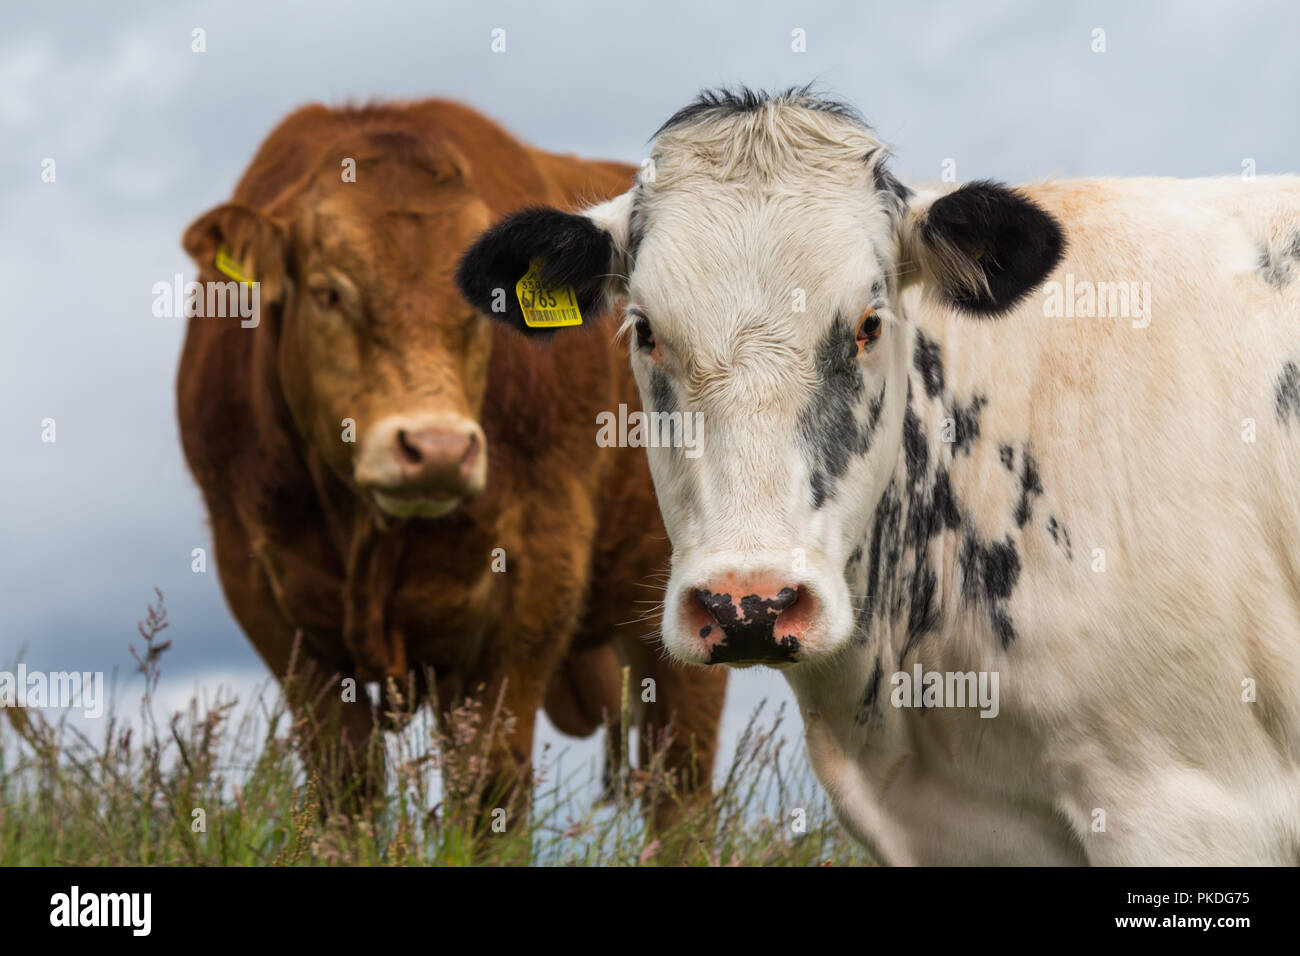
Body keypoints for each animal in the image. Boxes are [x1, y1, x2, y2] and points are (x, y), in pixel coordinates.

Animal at [174, 100, 728, 822]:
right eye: (328, 293)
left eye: (484, 301)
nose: (436, 450)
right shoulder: (262, 589)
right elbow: (342, 789)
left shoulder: (533, 582)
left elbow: (489, 792)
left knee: (681, 785)